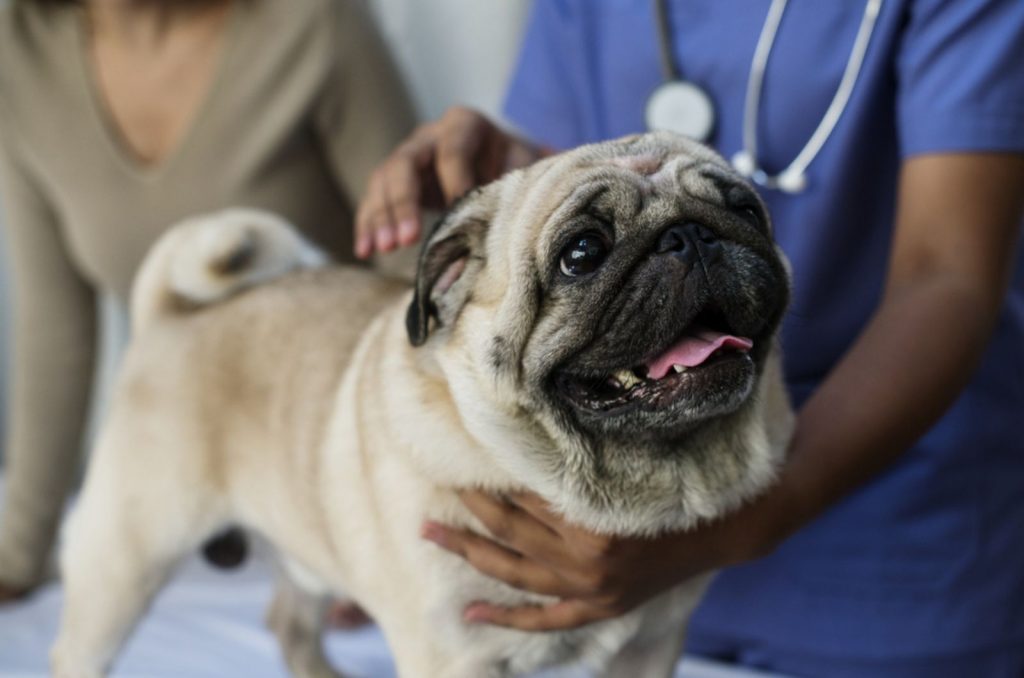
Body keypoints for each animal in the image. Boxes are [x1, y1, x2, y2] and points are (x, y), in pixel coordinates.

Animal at [51, 133, 794, 678]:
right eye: (582, 253)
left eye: (746, 211)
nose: (689, 235)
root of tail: (167, 315)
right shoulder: (454, 657)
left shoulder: (650, 648)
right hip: (126, 556)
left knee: (289, 622)